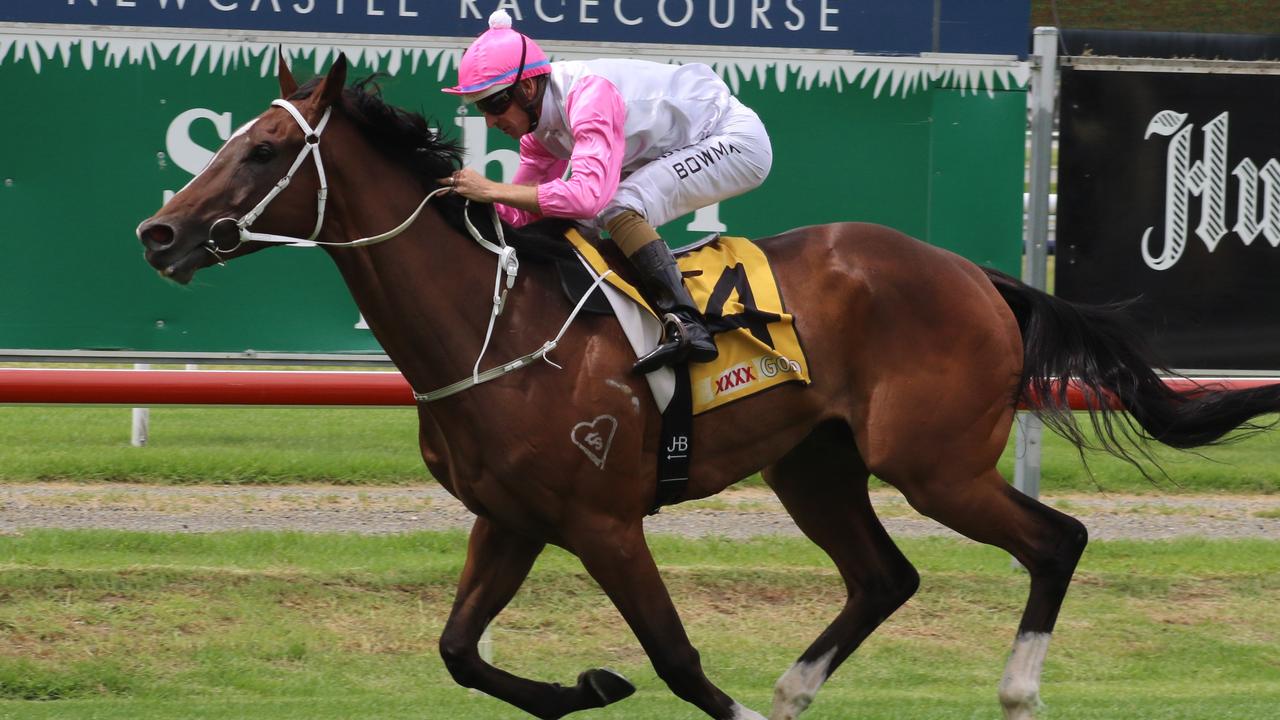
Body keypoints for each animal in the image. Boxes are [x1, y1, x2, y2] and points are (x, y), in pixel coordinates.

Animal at [135, 57, 1280, 717]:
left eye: (266, 150)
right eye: (227, 139)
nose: (159, 233)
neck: (491, 325)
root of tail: (974, 272)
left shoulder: (602, 521)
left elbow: (679, 660)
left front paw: (638, 680)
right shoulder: (510, 519)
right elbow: (459, 650)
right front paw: (588, 685)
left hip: (933, 463)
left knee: (1057, 541)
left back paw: (1015, 689)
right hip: (815, 466)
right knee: (883, 578)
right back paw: (795, 690)